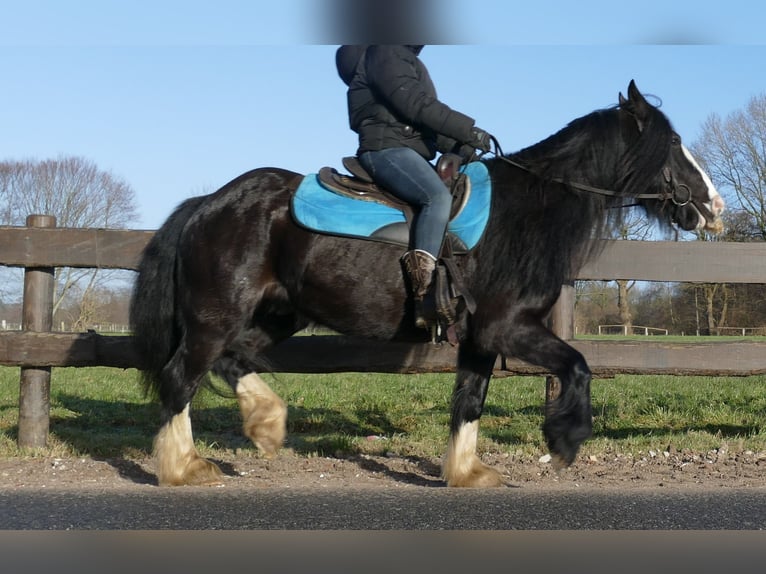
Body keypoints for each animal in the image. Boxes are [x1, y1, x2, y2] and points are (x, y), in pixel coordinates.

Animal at [130, 81, 728, 486]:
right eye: (673, 142)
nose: (713, 208)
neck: (527, 209)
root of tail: (209, 203)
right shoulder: (508, 326)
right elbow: (577, 366)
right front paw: (564, 440)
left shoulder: (481, 337)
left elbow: (470, 400)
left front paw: (466, 471)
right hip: (215, 316)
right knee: (181, 376)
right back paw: (183, 466)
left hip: (278, 315)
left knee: (231, 361)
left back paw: (266, 426)